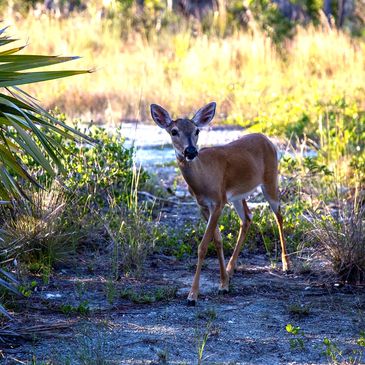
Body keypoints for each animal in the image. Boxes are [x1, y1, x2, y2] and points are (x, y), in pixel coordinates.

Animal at [149, 100, 288, 304]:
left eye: (197, 130)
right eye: (173, 131)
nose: (191, 151)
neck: (203, 178)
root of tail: (266, 139)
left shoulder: (218, 201)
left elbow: (203, 246)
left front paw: (193, 295)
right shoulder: (203, 205)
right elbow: (218, 240)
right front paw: (224, 283)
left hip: (270, 180)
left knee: (279, 216)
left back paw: (286, 264)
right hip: (238, 195)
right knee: (247, 218)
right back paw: (231, 268)